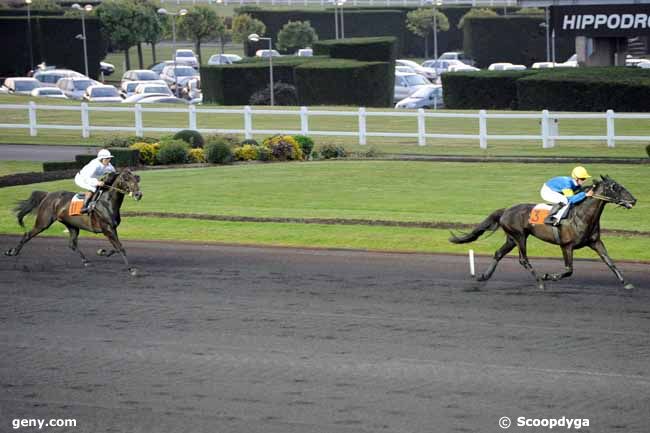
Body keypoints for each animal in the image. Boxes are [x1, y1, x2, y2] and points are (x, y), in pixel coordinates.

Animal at [4, 168, 142, 274]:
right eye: (125, 179)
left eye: (136, 179)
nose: (138, 194)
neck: (107, 203)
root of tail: (47, 195)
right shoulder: (107, 229)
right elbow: (120, 247)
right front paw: (131, 269)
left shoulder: (112, 228)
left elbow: (117, 247)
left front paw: (102, 251)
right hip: (43, 222)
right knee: (28, 235)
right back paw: (12, 252)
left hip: (72, 225)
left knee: (72, 244)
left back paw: (86, 261)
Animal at [448, 176, 636, 290]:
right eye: (615, 187)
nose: (633, 200)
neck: (582, 215)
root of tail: (506, 210)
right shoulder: (566, 245)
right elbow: (569, 270)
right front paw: (548, 276)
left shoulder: (595, 242)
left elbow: (609, 262)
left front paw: (626, 283)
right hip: (520, 236)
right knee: (523, 259)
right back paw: (539, 281)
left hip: (511, 238)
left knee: (498, 253)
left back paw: (483, 276)